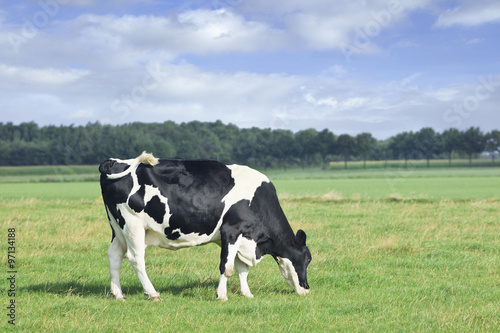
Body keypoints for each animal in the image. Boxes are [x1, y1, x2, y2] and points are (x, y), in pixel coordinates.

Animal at [98, 152, 310, 300]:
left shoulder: (241, 237)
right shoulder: (231, 231)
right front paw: (222, 295)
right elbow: (227, 267)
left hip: (117, 228)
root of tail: (115, 161)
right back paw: (153, 294)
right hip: (132, 224)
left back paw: (118, 294)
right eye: (308, 259)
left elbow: (242, 268)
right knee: (136, 258)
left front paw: (247, 293)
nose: (307, 289)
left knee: (114, 255)